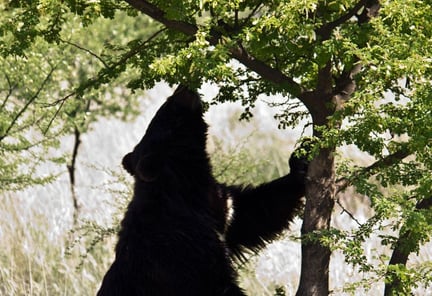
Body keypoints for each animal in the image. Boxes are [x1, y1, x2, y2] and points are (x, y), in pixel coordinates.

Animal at [97, 84, 308, 294]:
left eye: (161, 110)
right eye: (168, 115)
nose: (182, 88)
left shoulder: (222, 209)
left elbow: (256, 211)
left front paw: (300, 162)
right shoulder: (182, 248)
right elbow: (214, 281)